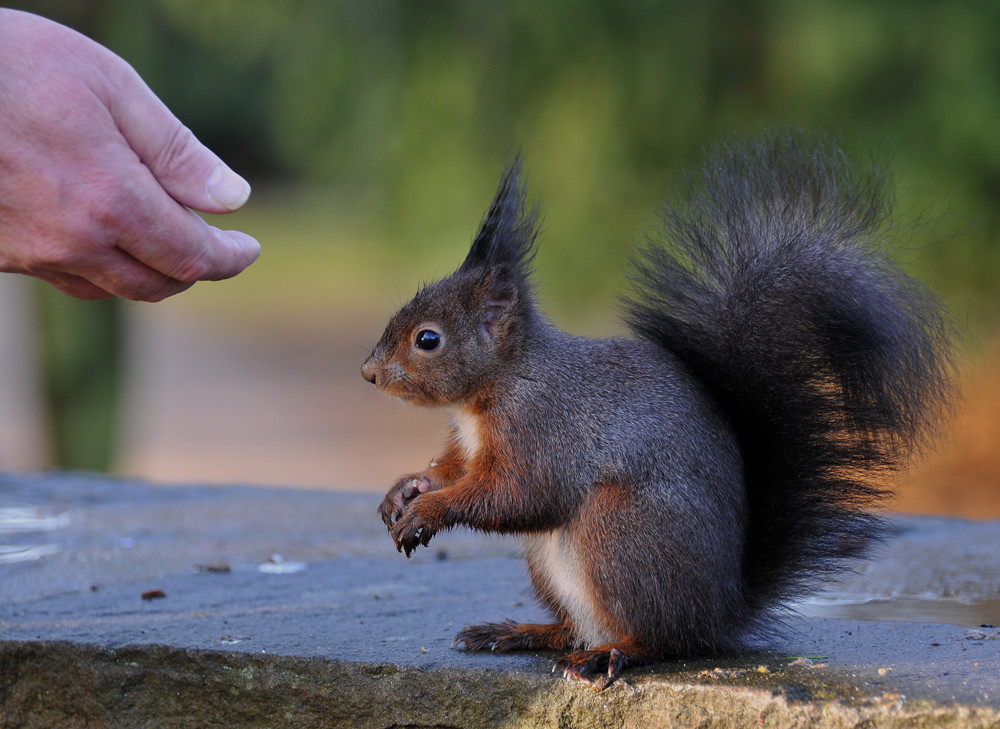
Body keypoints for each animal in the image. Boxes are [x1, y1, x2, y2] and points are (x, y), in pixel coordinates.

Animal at [360, 129, 952, 688]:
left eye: (428, 340)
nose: (368, 373)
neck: (498, 384)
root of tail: (721, 611)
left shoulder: (542, 427)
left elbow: (519, 494)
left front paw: (429, 511)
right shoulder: (468, 443)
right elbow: (453, 470)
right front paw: (405, 490)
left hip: (620, 529)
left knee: (663, 639)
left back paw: (612, 653)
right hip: (553, 565)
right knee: (575, 627)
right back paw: (519, 632)